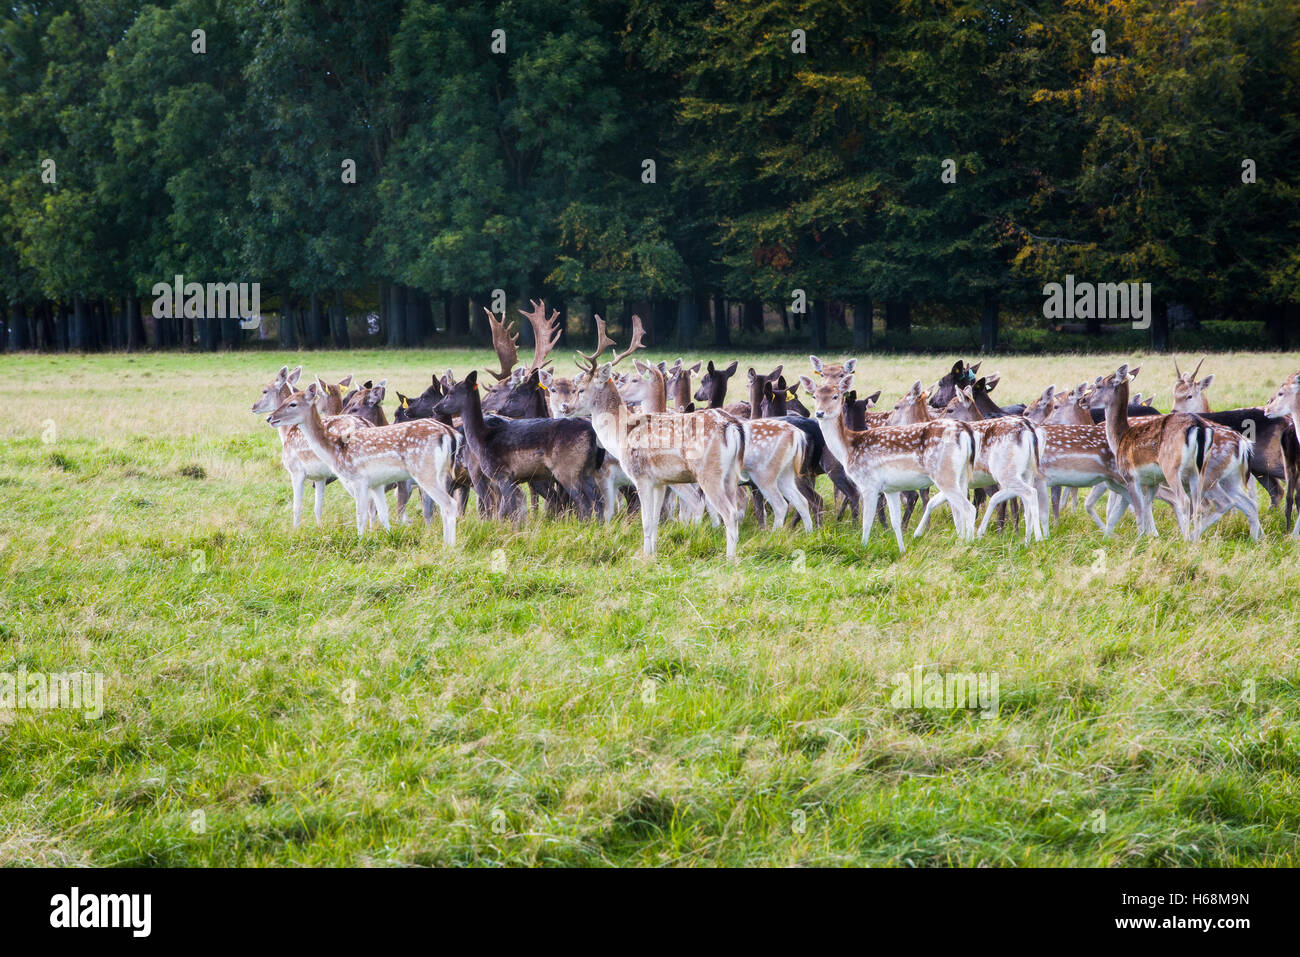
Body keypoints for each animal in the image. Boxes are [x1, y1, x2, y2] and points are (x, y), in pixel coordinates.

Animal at [262, 382, 457, 546]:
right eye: (284, 400)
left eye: (293, 404)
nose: (270, 418)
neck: (334, 449)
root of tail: (449, 433)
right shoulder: (377, 483)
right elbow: (383, 514)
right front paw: (388, 537)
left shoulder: (358, 479)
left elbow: (361, 514)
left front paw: (361, 542)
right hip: (441, 474)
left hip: (424, 471)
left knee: (449, 504)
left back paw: (449, 546)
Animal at [800, 374, 977, 553]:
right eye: (814, 396)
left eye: (836, 396)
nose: (819, 413)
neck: (848, 448)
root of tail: (965, 431)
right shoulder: (890, 488)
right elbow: (895, 522)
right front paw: (902, 550)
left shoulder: (868, 483)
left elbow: (867, 522)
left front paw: (863, 547)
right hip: (962, 476)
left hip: (944, 474)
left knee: (969, 508)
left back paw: (968, 545)